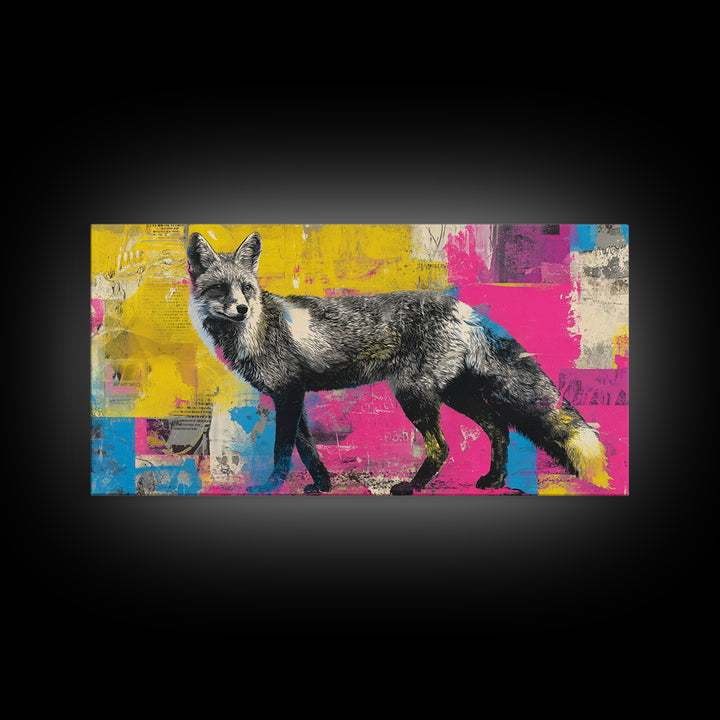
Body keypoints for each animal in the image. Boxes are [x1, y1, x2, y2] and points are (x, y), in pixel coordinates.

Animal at [187, 230, 611, 495]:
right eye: (220, 289)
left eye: (246, 288)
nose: (241, 309)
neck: (253, 330)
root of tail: (461, 307)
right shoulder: (293, 396)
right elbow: (307, 449)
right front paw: (322, 486)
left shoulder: (288, 394)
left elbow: (282, 451)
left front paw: (270, 487)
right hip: (454, 394)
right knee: (499, 428)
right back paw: (494, 479)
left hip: (414, 395)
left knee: (443, 445)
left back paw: (413, 487)